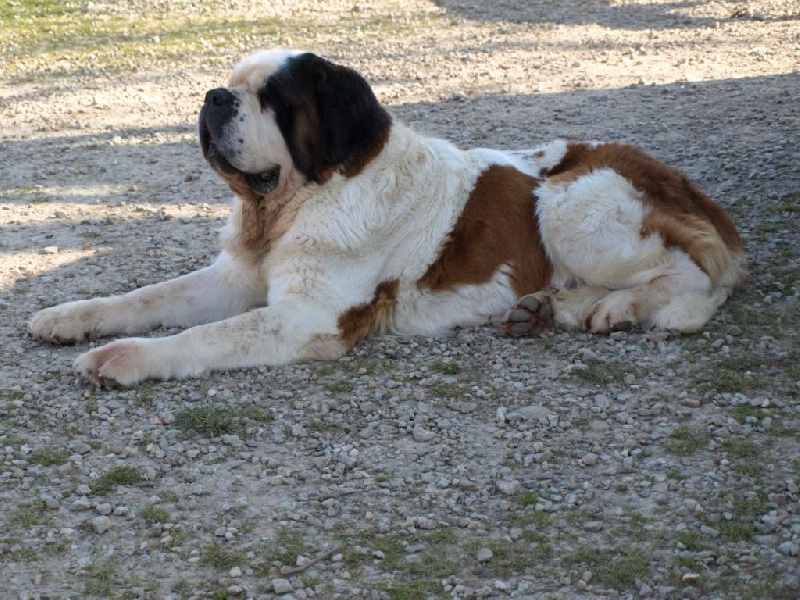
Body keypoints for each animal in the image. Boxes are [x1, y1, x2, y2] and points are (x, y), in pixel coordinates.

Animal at [28, 47, 748, 384]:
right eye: (230, 85)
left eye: (274, 101)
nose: (213, 98)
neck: (293, 203)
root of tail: (686, 185)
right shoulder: (234, 279)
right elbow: (146, 297)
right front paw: (70, 316)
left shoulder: (307, 317)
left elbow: (202, 337)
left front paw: (122, 358)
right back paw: (550, 307)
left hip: (568, 204)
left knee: (697, 277)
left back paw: (614, 308)